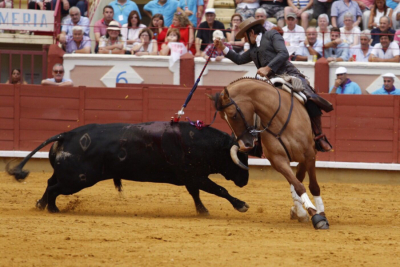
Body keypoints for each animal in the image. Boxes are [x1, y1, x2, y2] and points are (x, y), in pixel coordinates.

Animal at [7, 122, 250, 215]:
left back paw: (41, 205)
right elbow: (219, 189)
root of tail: (66, 134)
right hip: (77, 180)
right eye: (239, 158)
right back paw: (52, 208)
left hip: (69, 177)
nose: (245, 180)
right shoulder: (195, 176)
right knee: (54, 188)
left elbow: (196, 194)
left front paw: (202, 211)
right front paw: (241, 205)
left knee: (50, 184)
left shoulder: (191, 178)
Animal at [208, 78, 330, 230]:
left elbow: (313, 185)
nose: (244, 145)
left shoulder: (309, 155)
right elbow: (297, 185)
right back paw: (299, 212)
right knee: (296, 180)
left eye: (233, 115)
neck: (278, 118)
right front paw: (312, 213)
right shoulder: (278, 160)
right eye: (223, 118)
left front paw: (320, 214)